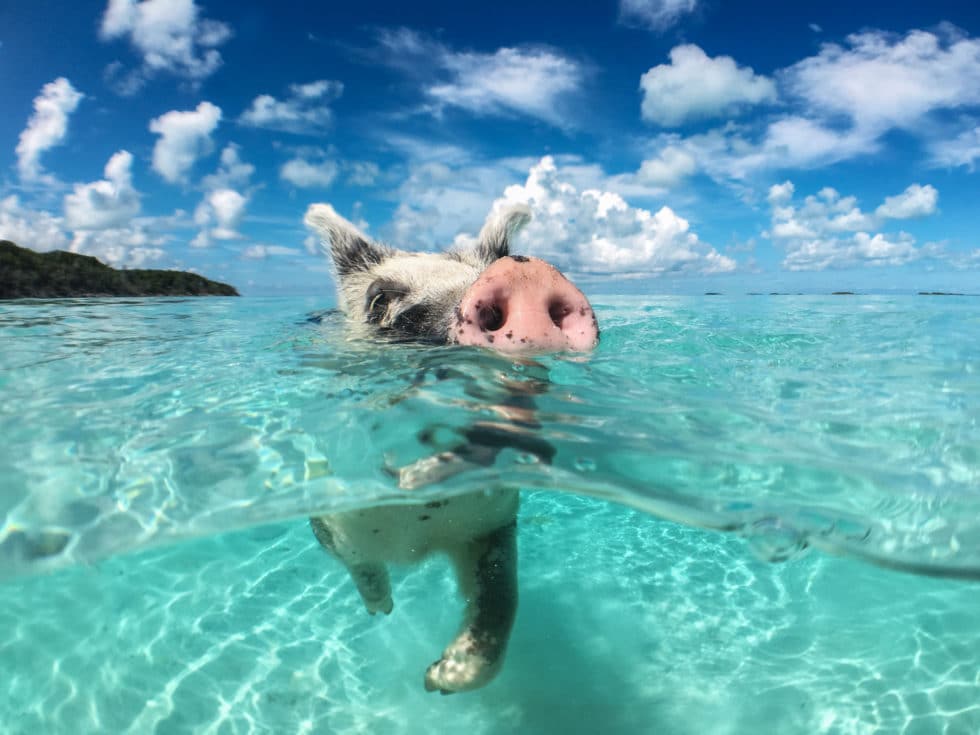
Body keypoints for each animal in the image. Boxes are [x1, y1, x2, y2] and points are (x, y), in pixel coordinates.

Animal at [303, 202, 599, 694]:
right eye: (379, 300)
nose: (525, 273)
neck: (417, 530)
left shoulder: (493, 523)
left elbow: (502, 595)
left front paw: (437, 679)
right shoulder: (330, 514)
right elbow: (359, 564)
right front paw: (382, 610)